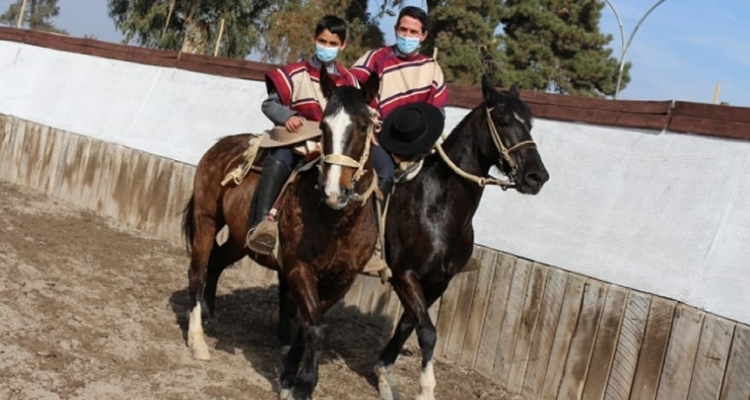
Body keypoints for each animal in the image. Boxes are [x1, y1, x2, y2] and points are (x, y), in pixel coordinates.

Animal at [182, 67, 382, 398]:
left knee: (217, 261)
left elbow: (309, 324)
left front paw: (289, 376)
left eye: (364, 126)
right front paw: (303, 384)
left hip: (240, 238)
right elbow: (315, 326)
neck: (337, 223)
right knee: (197, 271)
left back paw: (210, 313)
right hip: (206, 220)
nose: (333, 191)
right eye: (324, 126)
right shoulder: (298, 268)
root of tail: (220, 146)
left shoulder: (342, 280)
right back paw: (197, 339)